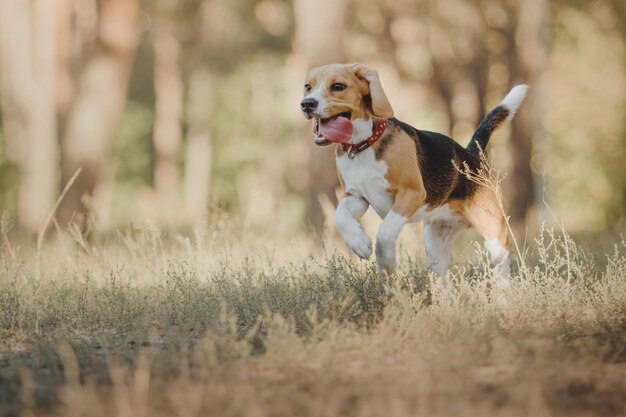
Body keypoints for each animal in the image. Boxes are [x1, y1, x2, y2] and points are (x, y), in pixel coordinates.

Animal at [300, 63, 524, 278]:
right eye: (308, 87)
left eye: (338, 86)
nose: (306, 104)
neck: (363, 145)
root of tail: (471, 154)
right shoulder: (356, 197)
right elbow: (341, 216)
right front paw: (359, 243)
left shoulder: (411, 193)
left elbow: (385, 232)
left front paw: (386, 263)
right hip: (435, 243)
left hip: (494, 234)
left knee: (502, 269)